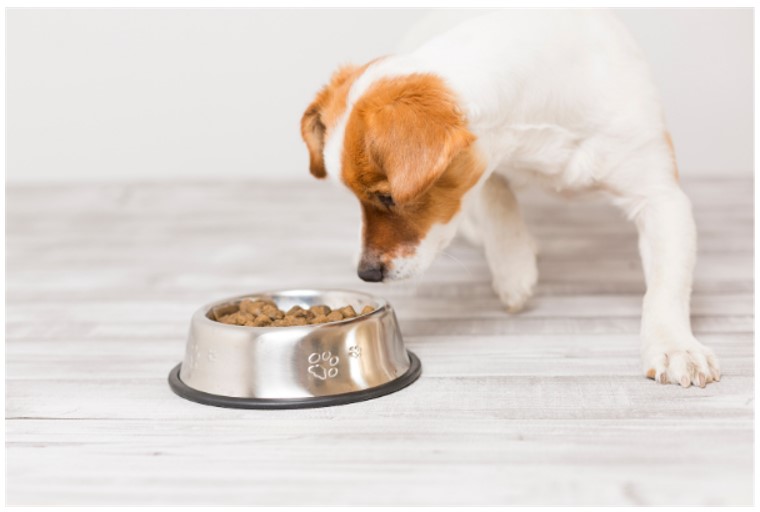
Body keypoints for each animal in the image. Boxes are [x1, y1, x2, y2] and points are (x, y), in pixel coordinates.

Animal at [298, 10, 720, 388]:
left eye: (387, 197)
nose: (366, 273)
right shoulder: (486, 165)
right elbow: (495, 199)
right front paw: (514, 268)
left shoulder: (661, 197)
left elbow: (666, 285)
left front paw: (676, 347)